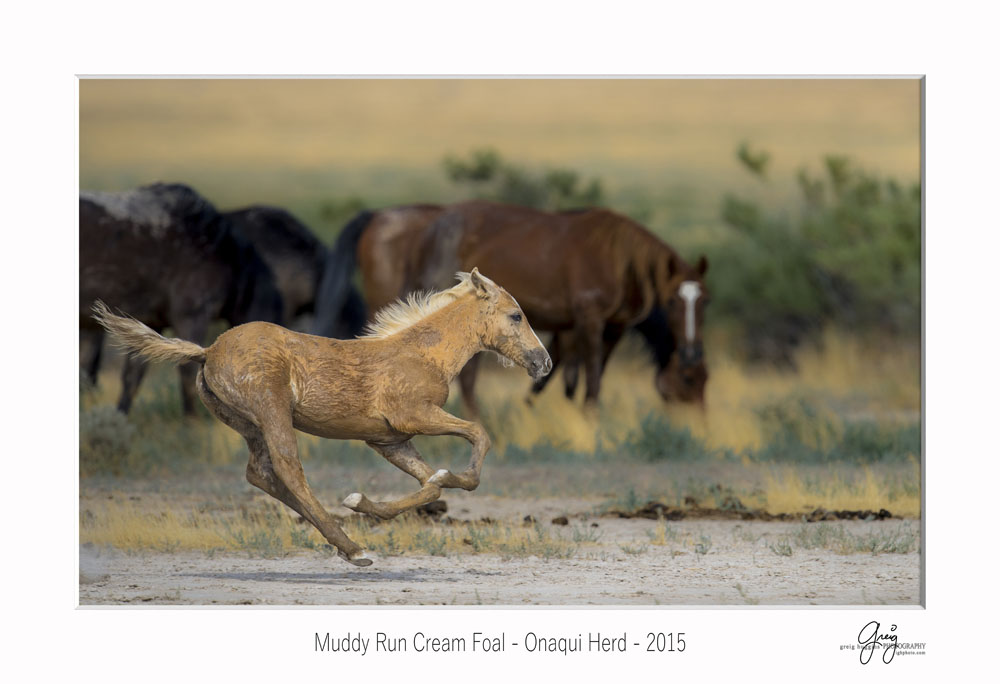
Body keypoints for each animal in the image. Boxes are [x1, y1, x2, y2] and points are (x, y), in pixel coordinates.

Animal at [94, 268, 552, 568]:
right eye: (516, 315)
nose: (543, 362)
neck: (424, 354)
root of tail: (207, 351)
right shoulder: (414, 416)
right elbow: (478, 438)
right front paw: (364, 503)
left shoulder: (388, 439)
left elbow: (432, 487)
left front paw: (366, 503)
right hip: (272, 411)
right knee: (289, 470)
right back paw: (355, 551)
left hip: (247, 424)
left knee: (261, 473)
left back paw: (347, 543)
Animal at [316, 200, 708, 416]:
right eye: (673, 301)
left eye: (705, 300)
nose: (700, 425)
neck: (620, 260)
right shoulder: (589, 321)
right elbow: (590, 380)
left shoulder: (602, 327)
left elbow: (562, 377)